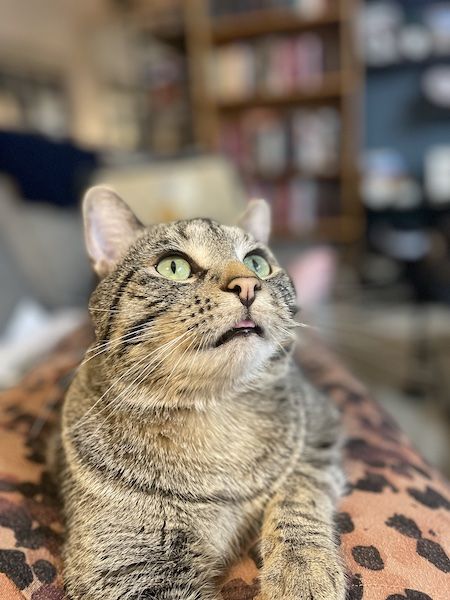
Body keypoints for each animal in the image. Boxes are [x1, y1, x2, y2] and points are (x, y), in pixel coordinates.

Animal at [53, 185, 348, 596]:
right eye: (173, 266)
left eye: (257, 262)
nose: (248, 285)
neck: (217, 413)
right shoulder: (127, 565)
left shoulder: (320, 427)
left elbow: (298, 495)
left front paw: (303, 570)